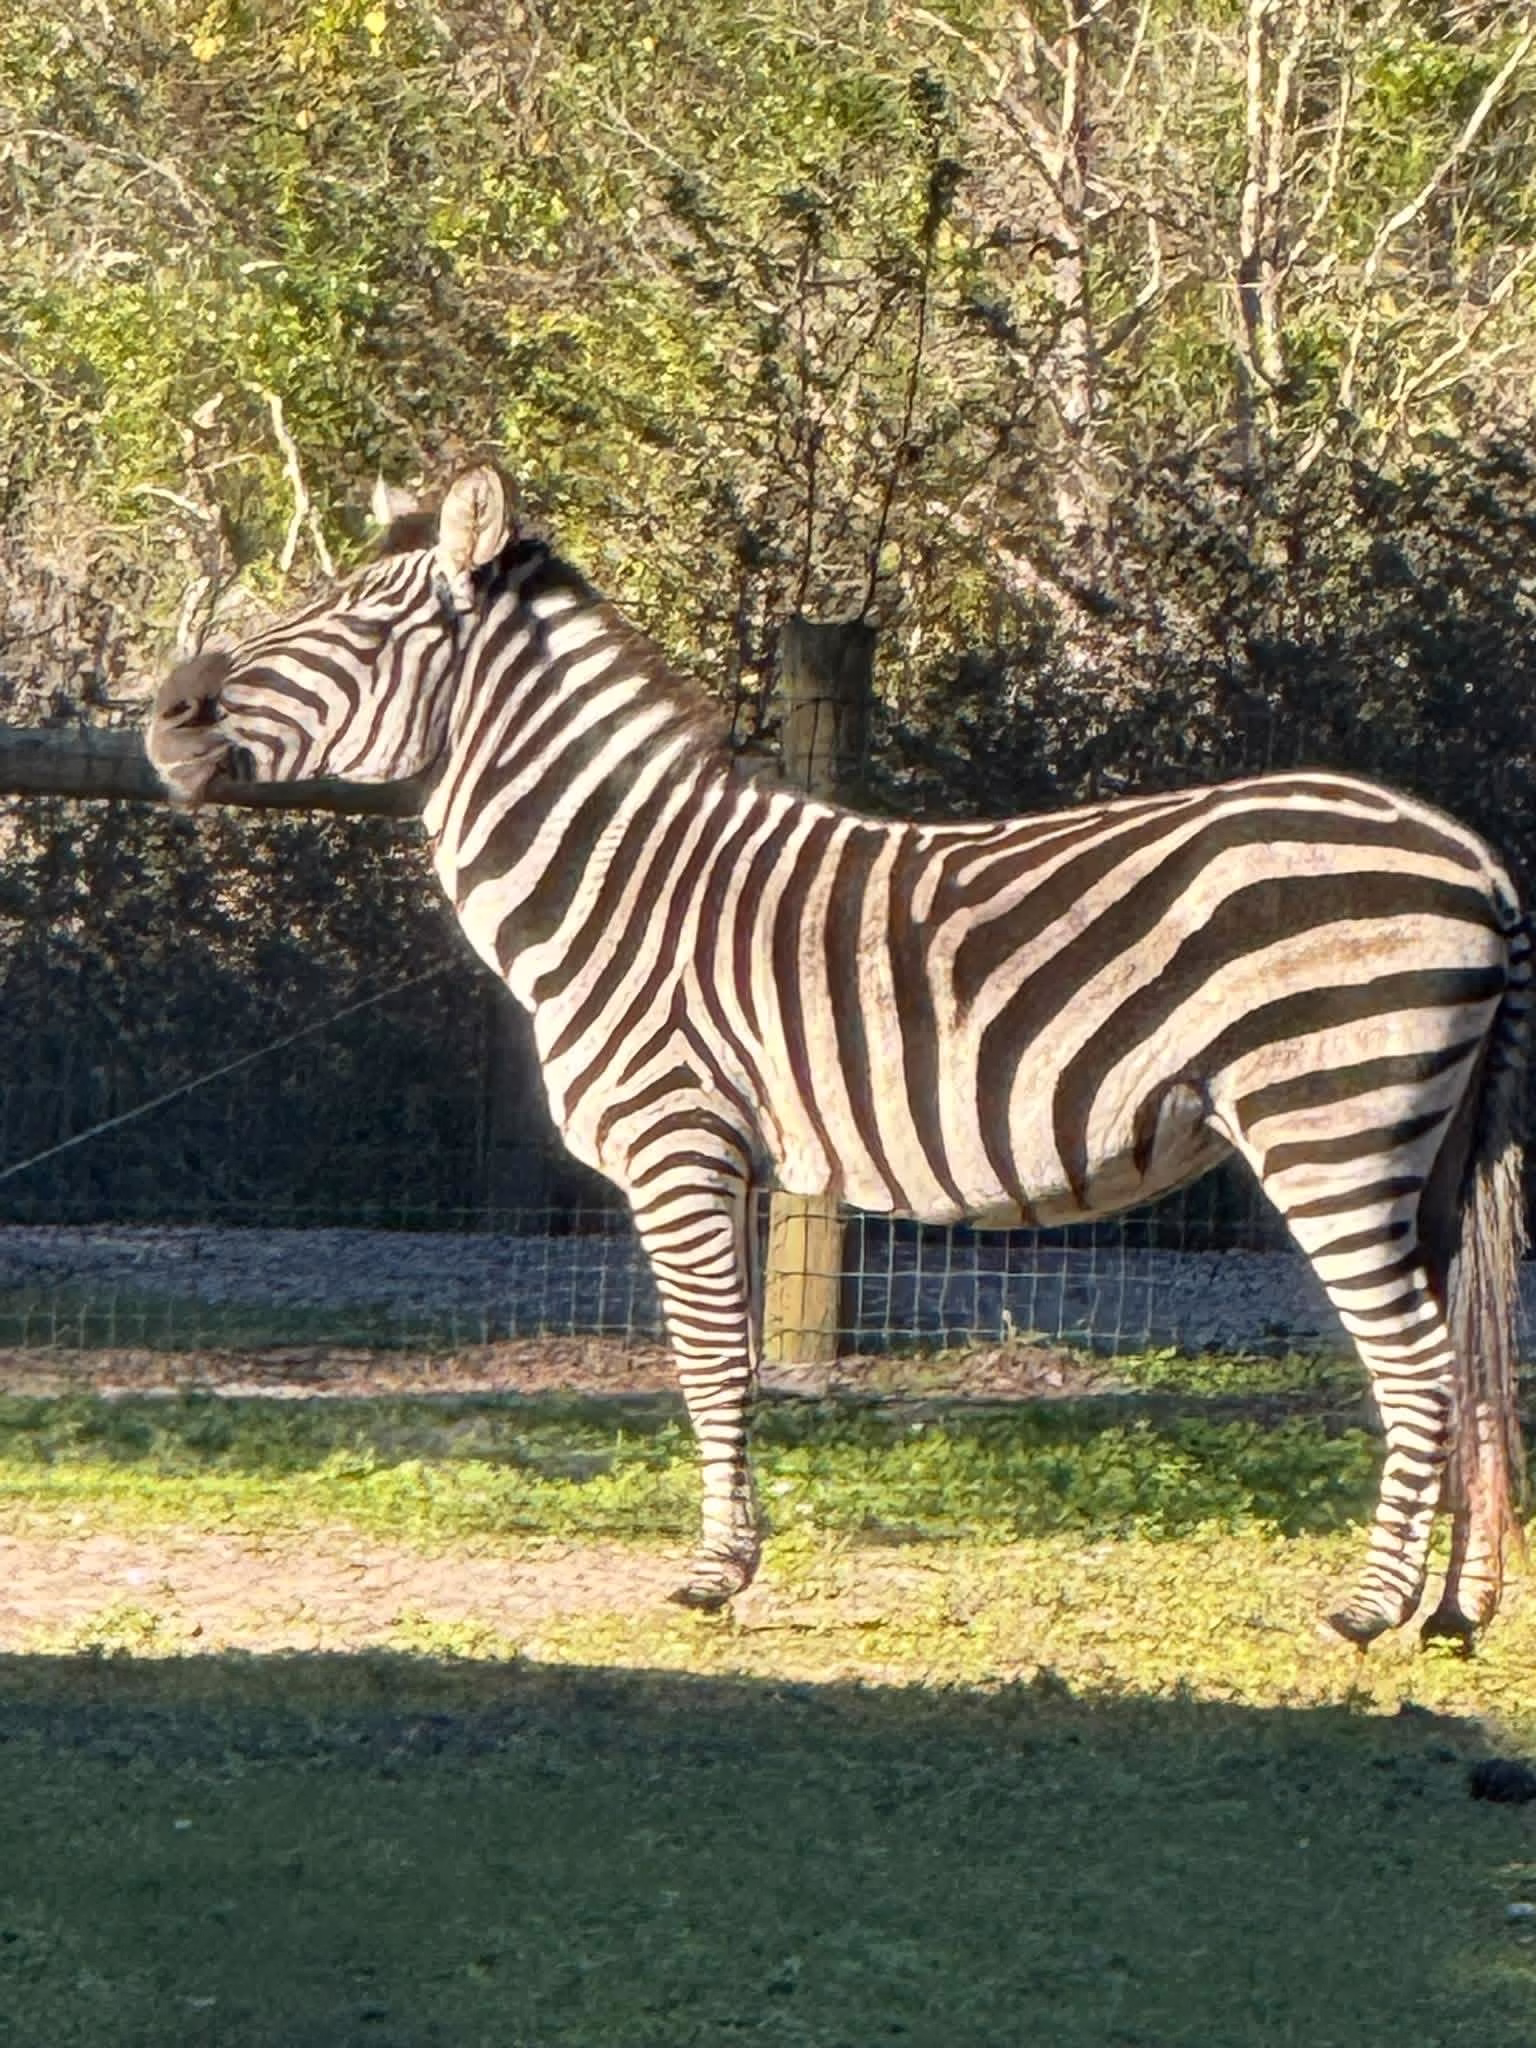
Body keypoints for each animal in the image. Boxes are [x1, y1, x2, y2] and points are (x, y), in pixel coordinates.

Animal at [147, 464, 1530, 1648]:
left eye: (355, 620)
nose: (164, 717)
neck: (615, 886)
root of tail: (1476, 856)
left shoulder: (679, 1142)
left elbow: (711, 1359)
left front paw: (715, 1573)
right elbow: (725, 1358)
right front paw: (729, 1556)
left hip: (1327, 1121)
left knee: (1416, 1363)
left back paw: (1368, 1608)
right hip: (1430, 1151)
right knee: (1474, 1358)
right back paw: (1459, 1609)